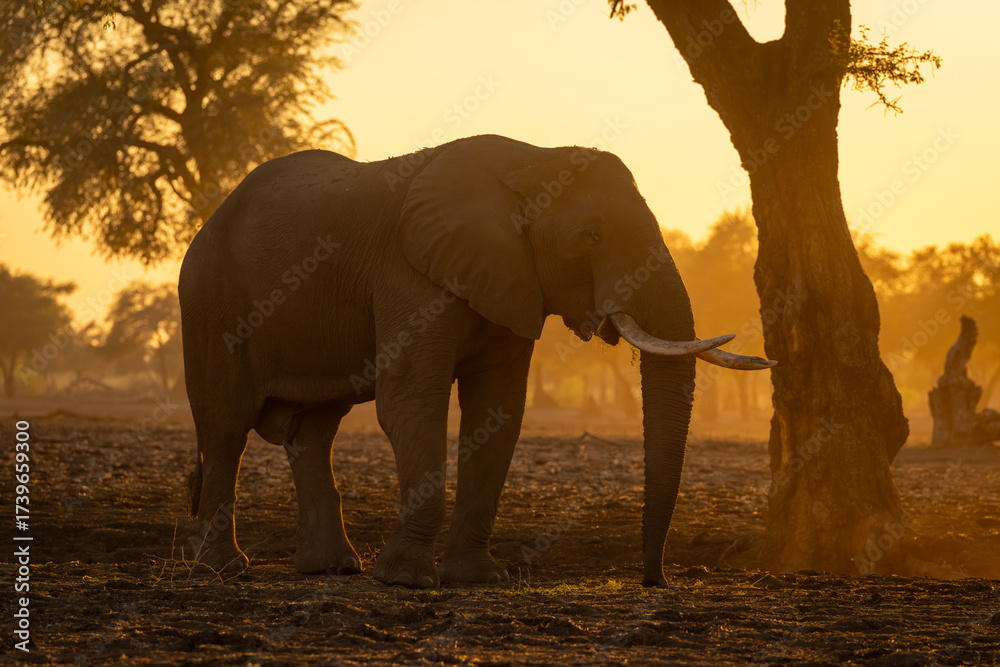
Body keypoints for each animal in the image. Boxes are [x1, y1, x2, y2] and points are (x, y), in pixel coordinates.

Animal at [179, 134, 774, 588]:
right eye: (590, 236)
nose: (655, 581)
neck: (531, 161)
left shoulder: (512, 280)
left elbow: (498, 411)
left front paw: (477, 579)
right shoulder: (410, 272)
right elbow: (411, 402)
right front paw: (407, 581)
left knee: (315, 430)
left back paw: (334, 568)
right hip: (210, 301)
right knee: (226, 425)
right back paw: (223, 569)